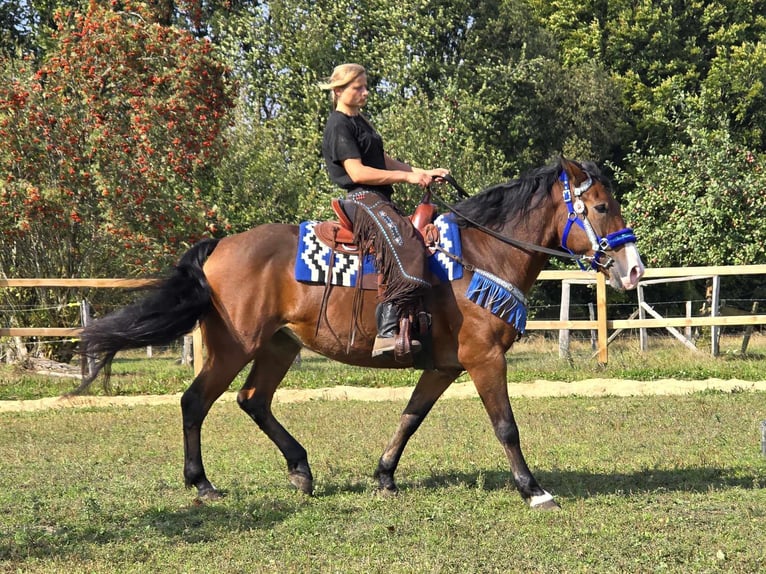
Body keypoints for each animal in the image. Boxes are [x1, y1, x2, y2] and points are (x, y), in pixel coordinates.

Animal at [78, 159, 644, 512]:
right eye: (599, 208)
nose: (634, 269)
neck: (481, 256)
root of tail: (218, 246)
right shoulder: (484, 359)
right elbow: (506, 427)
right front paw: (533, 490)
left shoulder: (443, 366)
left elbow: (410, 418)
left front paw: (385, 476)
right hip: (233, 346)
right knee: (195, 402)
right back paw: (203, 484)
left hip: (278, 346)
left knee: (253, 400)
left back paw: (300, 470)